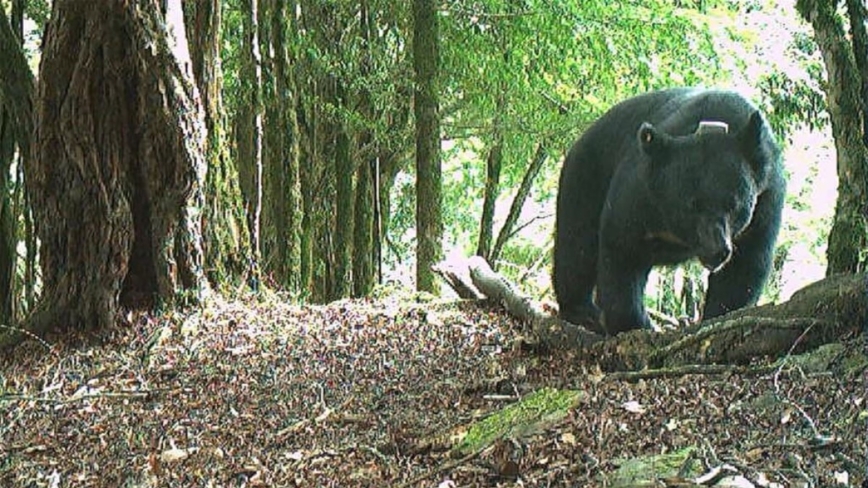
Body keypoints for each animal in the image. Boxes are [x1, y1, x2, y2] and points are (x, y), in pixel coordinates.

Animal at [553, 88, 785, 336]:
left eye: (733, 204)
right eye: (691, 205)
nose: (716, 250)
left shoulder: (766, 200)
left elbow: (744, 267)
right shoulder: (639, 190)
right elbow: (622, 249)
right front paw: (636, 324)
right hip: (587, 174)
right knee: (577, 244)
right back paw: (583, 313)